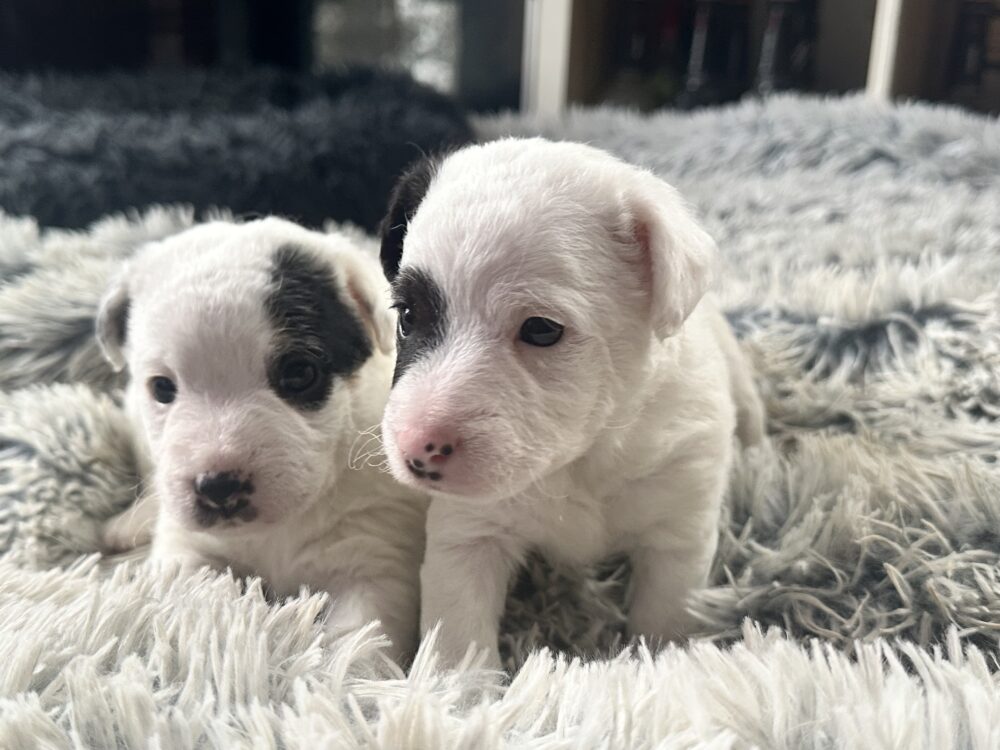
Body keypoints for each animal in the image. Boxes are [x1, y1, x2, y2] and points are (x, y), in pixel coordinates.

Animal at [96, 217, 427, 661]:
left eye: (300, 373)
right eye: (162, 388)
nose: (219, 487)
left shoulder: (374, 556)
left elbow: (361, 636)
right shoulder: (191, 549)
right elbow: (196, 594)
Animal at [377, 138, 765, 667]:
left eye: (542, 330)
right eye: (407, 316)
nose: (417, 450)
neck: (581, 461)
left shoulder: (678, 531)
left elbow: (665, 618)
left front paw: (661, 665)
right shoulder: (469, 533)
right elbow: (459, 634)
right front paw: (459, 685)